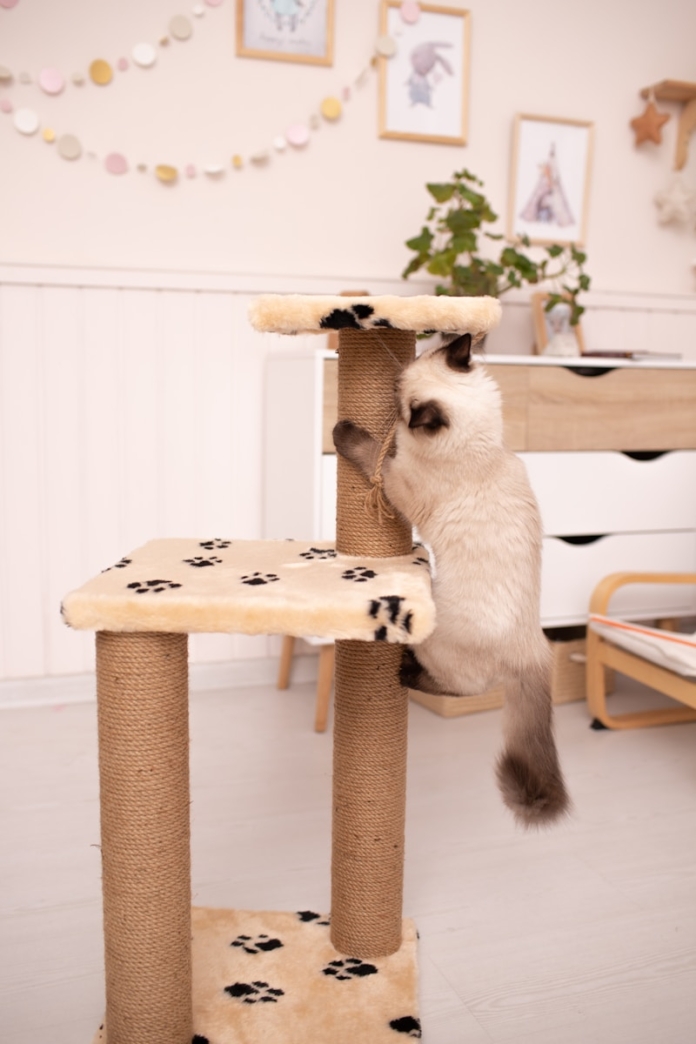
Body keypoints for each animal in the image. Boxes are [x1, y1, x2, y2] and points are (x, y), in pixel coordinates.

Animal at [333, 329, 571, 826]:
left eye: (400, 393)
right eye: (401, 376)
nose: (391, 387)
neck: (484, 449)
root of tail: (536, 646)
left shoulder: (397, 481)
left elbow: (372, 452)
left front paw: (346, 431)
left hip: (434, 636)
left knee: (461, 688)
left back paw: (406, 671)